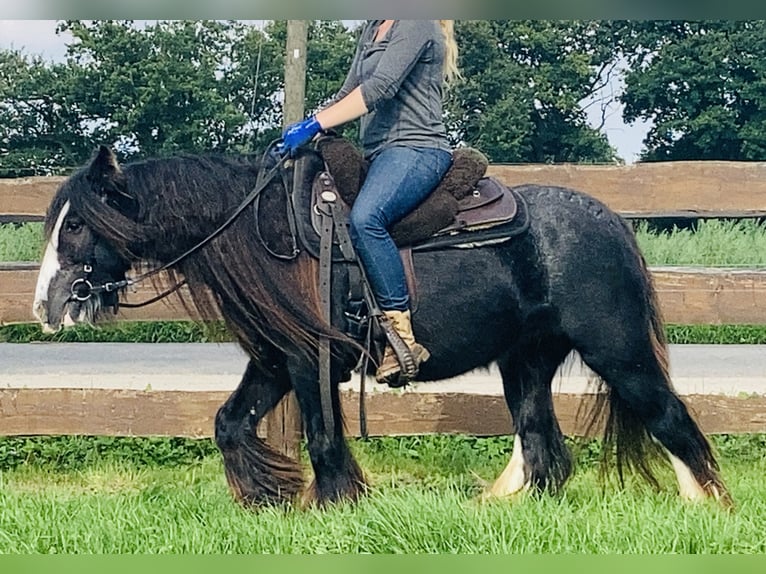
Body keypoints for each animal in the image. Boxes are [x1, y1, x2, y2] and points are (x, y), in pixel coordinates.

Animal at [33, 143, 736, 508]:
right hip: (526, 363)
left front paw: (334, 503)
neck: (268, 235)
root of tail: (611, 221)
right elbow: (229, 425)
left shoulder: (310, 362)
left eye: (78, 224)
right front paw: (269, 496)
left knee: (670, 419)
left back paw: (707, 504)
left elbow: (322, 440)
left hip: (619, 350)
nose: (47, 305)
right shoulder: (274, 361)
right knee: (542, 451)